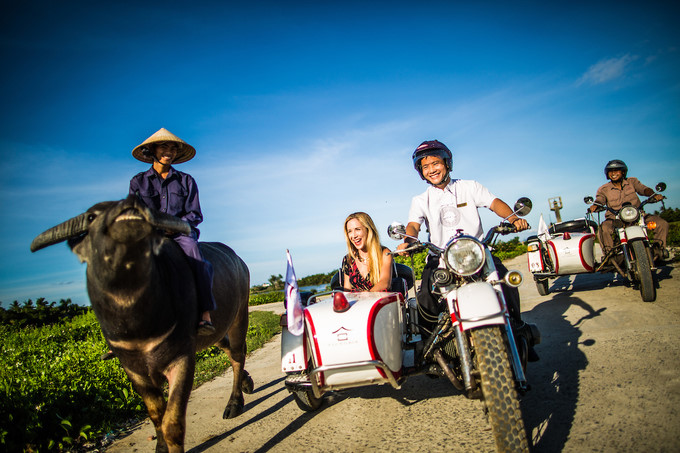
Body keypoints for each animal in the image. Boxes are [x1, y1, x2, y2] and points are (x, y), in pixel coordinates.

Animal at [31, 194, 252, 452]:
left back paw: (235, 402)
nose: (127, 208)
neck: (138, 323)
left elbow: (172, 422)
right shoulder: (133, 369)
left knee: (237, 354)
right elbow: (156, 413)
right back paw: (247, 382)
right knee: (226, 346)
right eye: (91, 216)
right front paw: (160, 446)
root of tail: (238, 260)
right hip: (211, 332)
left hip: (239, 315)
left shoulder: (182, 358)